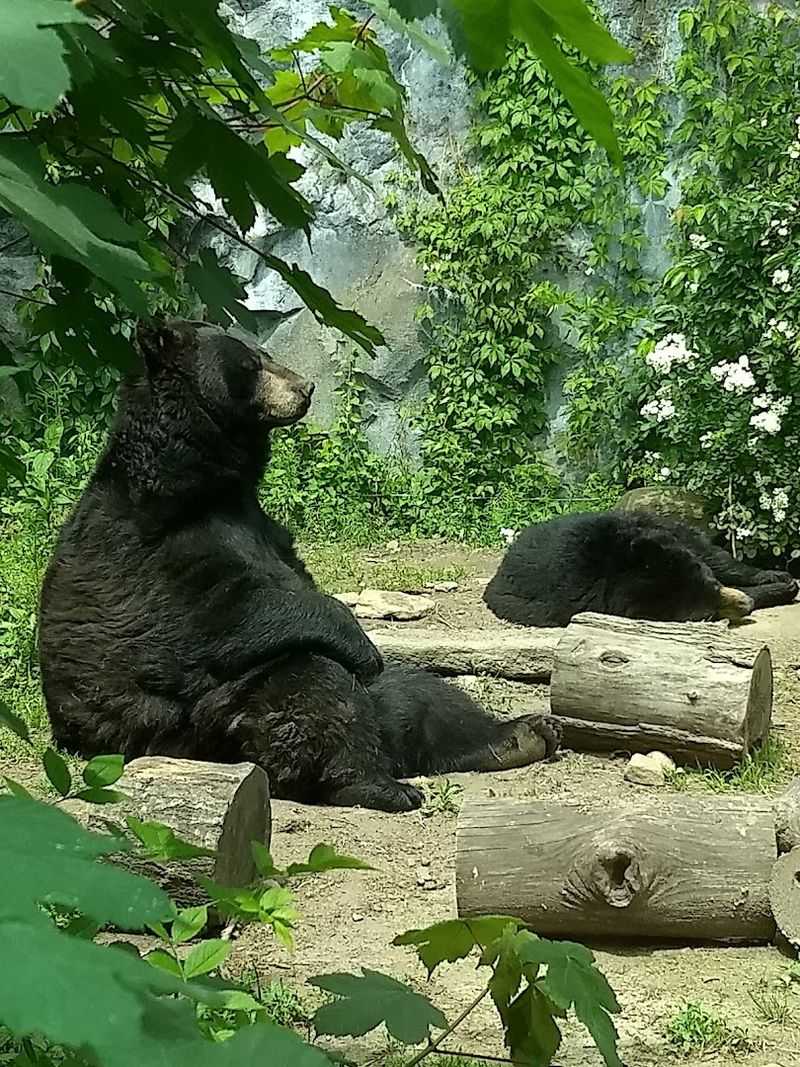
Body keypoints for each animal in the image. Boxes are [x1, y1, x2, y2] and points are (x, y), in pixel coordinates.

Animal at [39, 319, 560, 812]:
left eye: (264, 353)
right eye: (251, 363)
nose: (305, 388)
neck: (204, 479)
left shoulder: (259, 526)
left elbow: (292, 578)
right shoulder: (155, 546)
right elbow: (219, 612)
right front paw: (360, 644)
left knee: (425, 698)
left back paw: (519, 735)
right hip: (197, 729)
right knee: (313, 684)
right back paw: (375, 783)